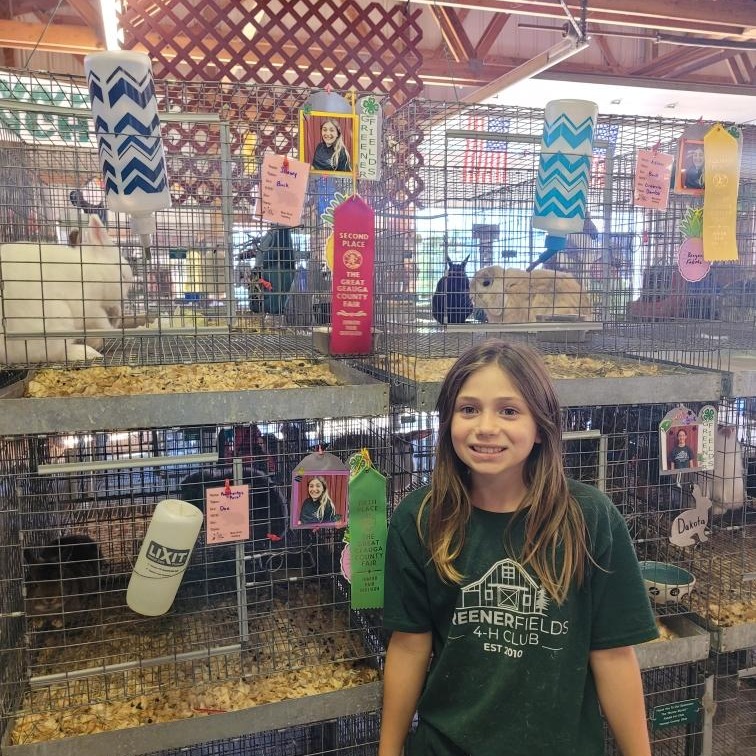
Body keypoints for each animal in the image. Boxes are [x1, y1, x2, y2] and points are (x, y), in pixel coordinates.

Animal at [0, 214, 133, 364]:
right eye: (123, 276)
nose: (124, 296)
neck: (97, 271)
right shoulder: (88, 307)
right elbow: (101, 321)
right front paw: (104, 334)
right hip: (56, 321)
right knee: (51, 352)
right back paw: (86, 352)